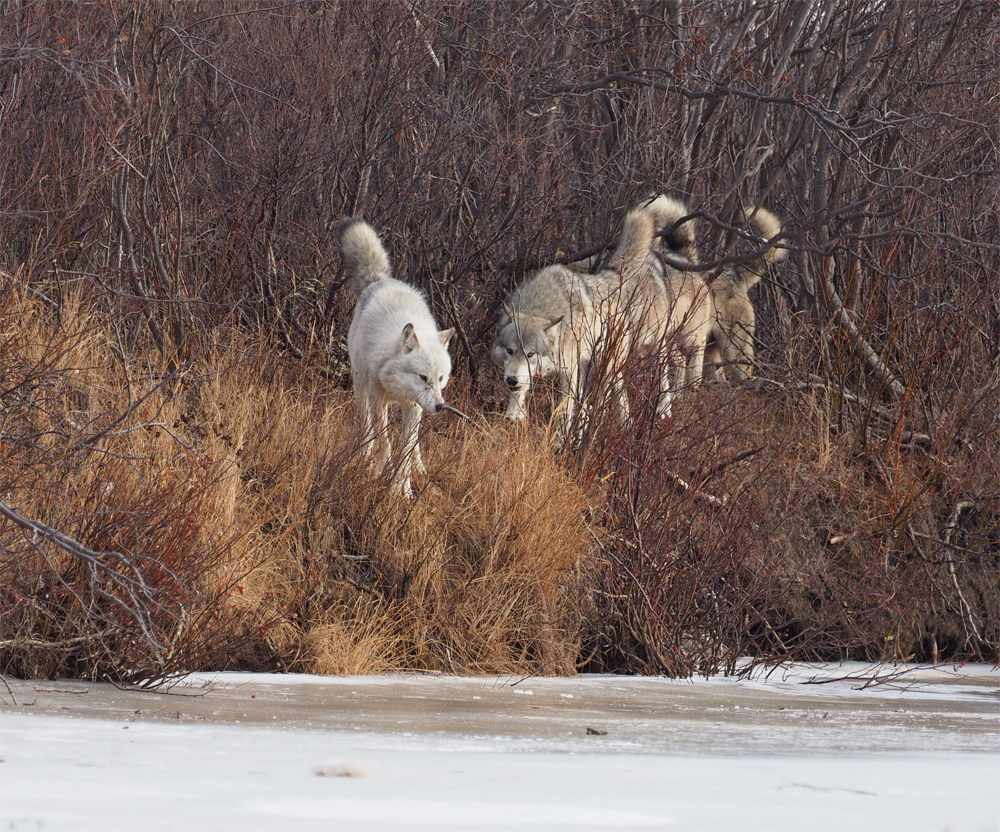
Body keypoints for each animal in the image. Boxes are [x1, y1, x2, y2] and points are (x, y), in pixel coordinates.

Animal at [340, 218, 458, 498]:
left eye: (441, 378)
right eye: (422, 377)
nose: (441, 407)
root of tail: (380, 281)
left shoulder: (414, 406)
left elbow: (405, 449)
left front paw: (401, 489)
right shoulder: (378, 398)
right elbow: (385, 442)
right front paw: (379, 472)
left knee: (414, 443)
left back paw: (420, 467)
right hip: (360, 388)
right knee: (367, 427)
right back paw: (365, 453)